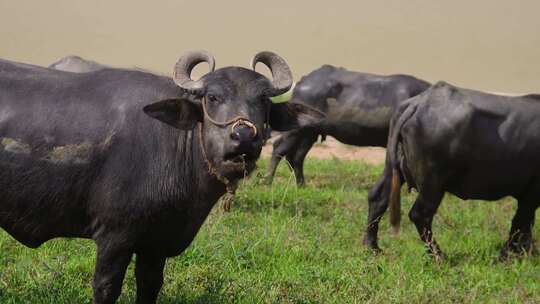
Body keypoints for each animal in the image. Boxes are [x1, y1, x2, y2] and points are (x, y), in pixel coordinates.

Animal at [0, 51, 320, 302]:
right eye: (213, 97)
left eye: (263, 100)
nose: (243, 137)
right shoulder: (114, 236)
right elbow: (106, 288)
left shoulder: (157, 243)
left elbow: (150, 286)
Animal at [266, 64, 430, 185]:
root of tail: (302, 82)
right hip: (297, 130)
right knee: (279, 148)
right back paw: (268, 181)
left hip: (309, 133)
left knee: (296, 158)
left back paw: (301, 185)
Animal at [362, 81, 540, 258]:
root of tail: (419, 102)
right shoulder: (531, 194)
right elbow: (520, 224)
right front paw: (510, 255)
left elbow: (525, 225)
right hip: (432, 183)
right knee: (420, 214)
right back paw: (438, 256)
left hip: (393, 168)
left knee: (378, 198)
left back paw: (372, 246)